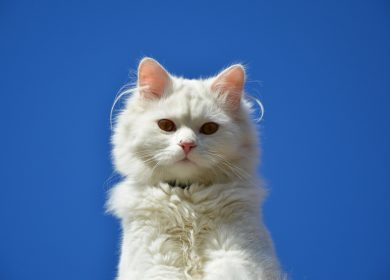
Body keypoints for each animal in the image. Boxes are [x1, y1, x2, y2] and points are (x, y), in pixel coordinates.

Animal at [106, 58, 284, 278]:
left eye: (209, 128)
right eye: (166, 125)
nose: (187, 144)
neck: (188, 202)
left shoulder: (236, 255)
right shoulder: (156, 262)